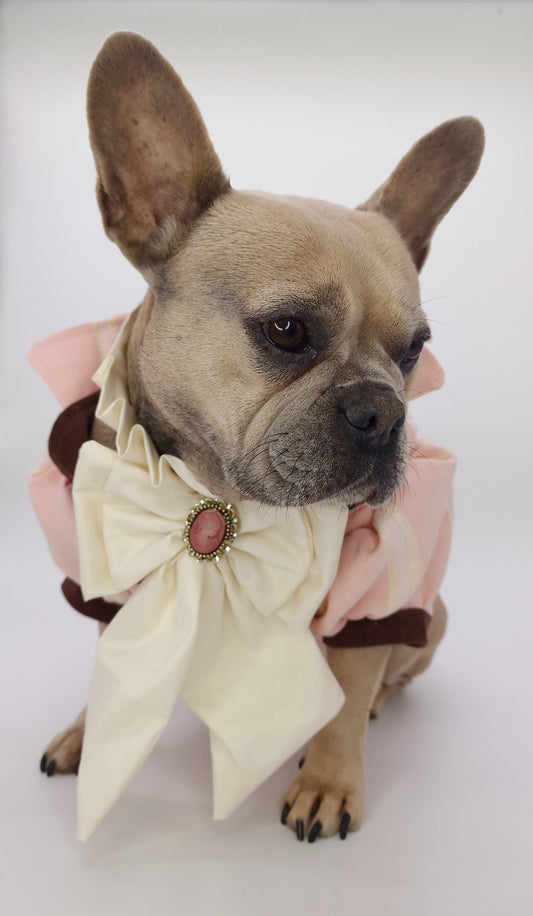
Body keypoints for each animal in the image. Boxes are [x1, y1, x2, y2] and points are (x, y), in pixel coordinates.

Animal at [34, 30, 482, 844]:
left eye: (413, 352)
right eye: (287, 330)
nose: (383, 410)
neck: (217, 494)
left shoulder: (370, 595)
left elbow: (348, 688)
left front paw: (329, 780)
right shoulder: (106, 565)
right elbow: (114, 660)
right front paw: (91, 731)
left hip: (431, 617)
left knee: (391, 674)